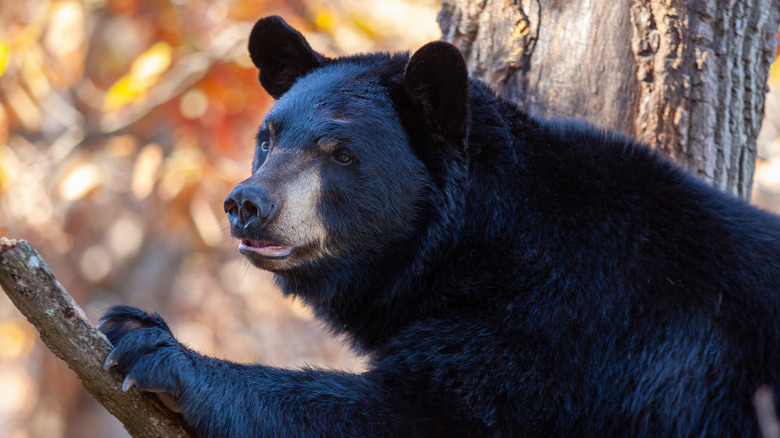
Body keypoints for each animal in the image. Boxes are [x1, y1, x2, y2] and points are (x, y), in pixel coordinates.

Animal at [99, 14, 780, 438]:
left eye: (339, 152)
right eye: (267, 139)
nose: (247, 203)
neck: (476, 246)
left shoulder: (571, 329)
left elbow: (428, 413)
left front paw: (153, 346)